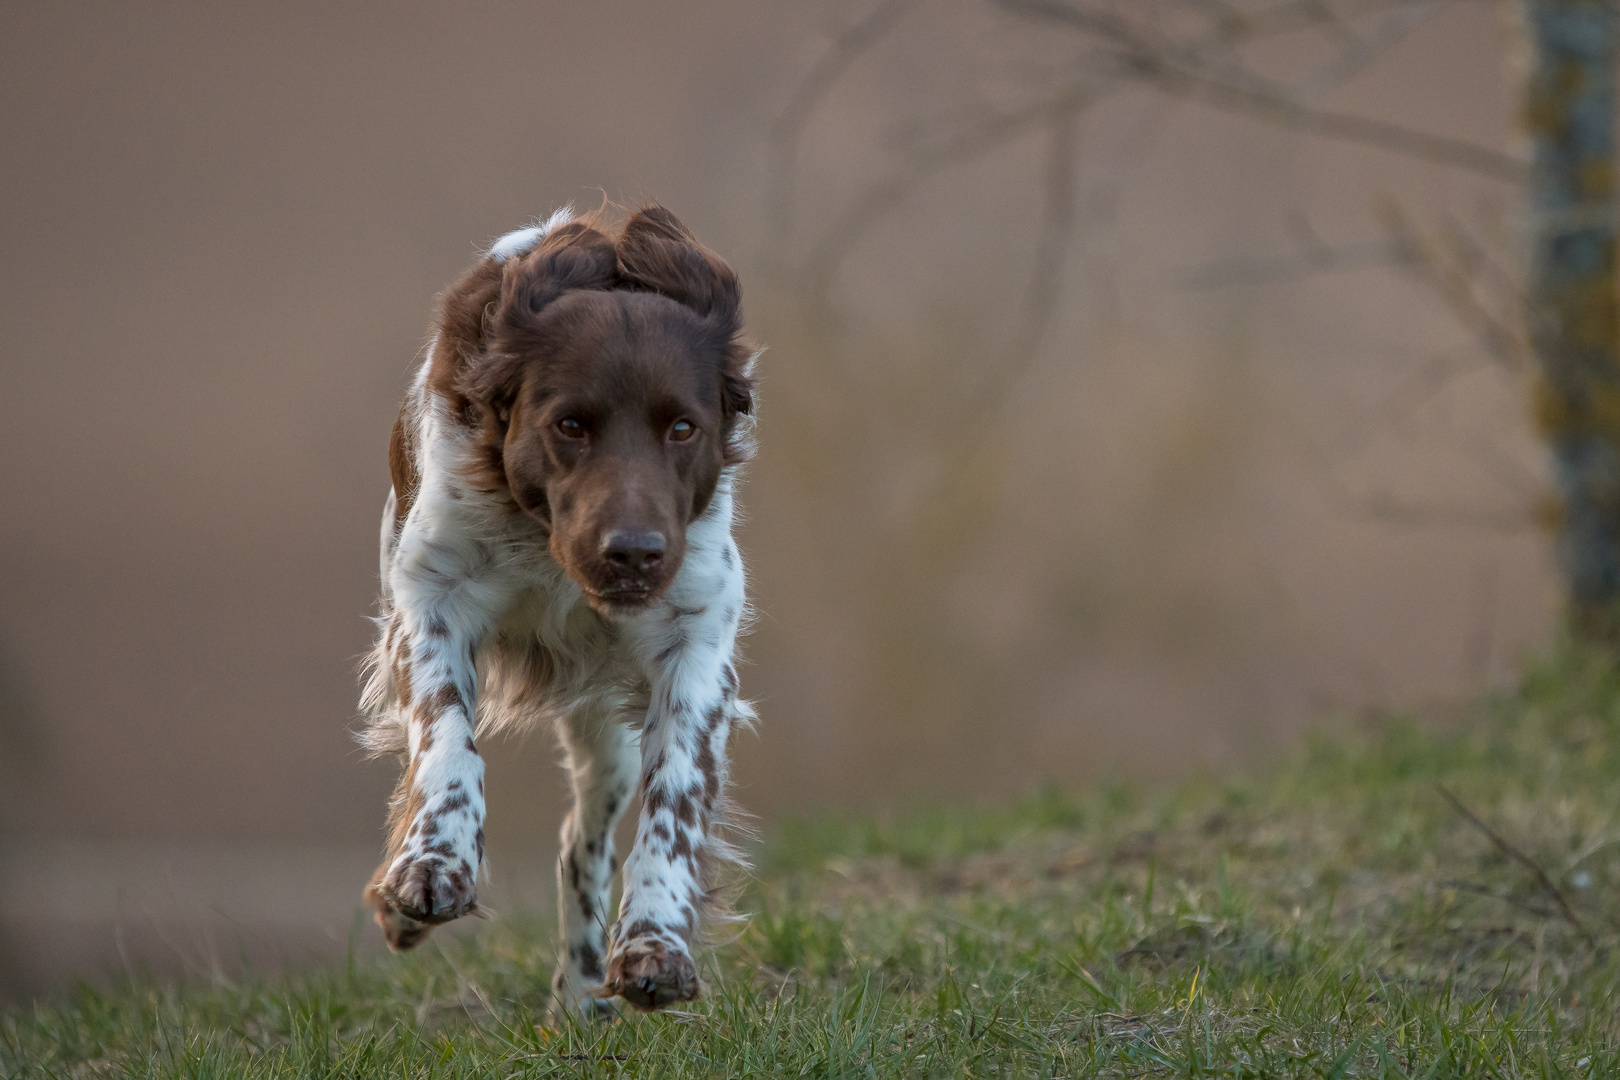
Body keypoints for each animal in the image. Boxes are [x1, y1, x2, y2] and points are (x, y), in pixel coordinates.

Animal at [358, 207, 754, 1016]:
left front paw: (655, 944)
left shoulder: (696, 639)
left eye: (683, 428)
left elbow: (675, 802)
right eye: (570, 425)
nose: (633, 553)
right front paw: (432, 867)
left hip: (607, 735)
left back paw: (578, 994)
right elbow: (447, 744)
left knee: (583, 842)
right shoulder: (431, 601)